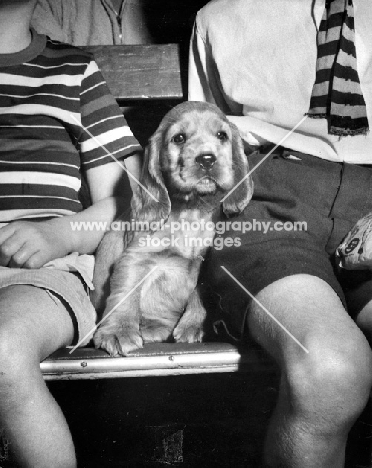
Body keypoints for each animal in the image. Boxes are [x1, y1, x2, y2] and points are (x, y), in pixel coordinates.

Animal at [93, 100, 253, 356]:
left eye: (222, 135)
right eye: (179, 138)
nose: (207, 159)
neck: (191, 210)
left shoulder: (204, 265)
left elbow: (199, 293)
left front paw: (193, 325)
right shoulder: (135, 258)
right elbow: (125, 292)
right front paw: (118, 331)